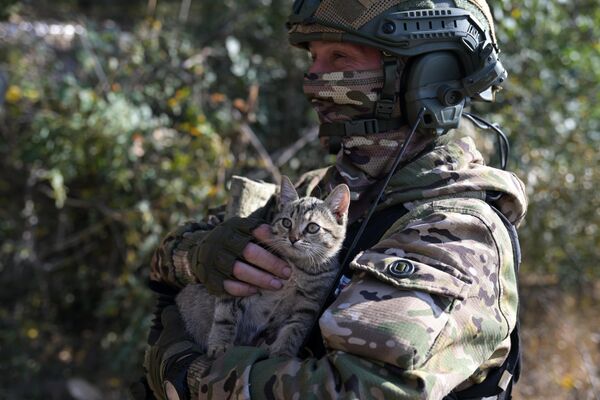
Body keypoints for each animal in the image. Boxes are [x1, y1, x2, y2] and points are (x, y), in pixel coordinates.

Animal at [176, 177, 350, 358]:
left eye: (313, 227)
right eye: (286, 223)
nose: (293, 238)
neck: (296, 268)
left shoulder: (308, 305)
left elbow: (294, 329)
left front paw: (282, 352)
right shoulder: (236, 284)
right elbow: (225, 317)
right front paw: (220, 345)